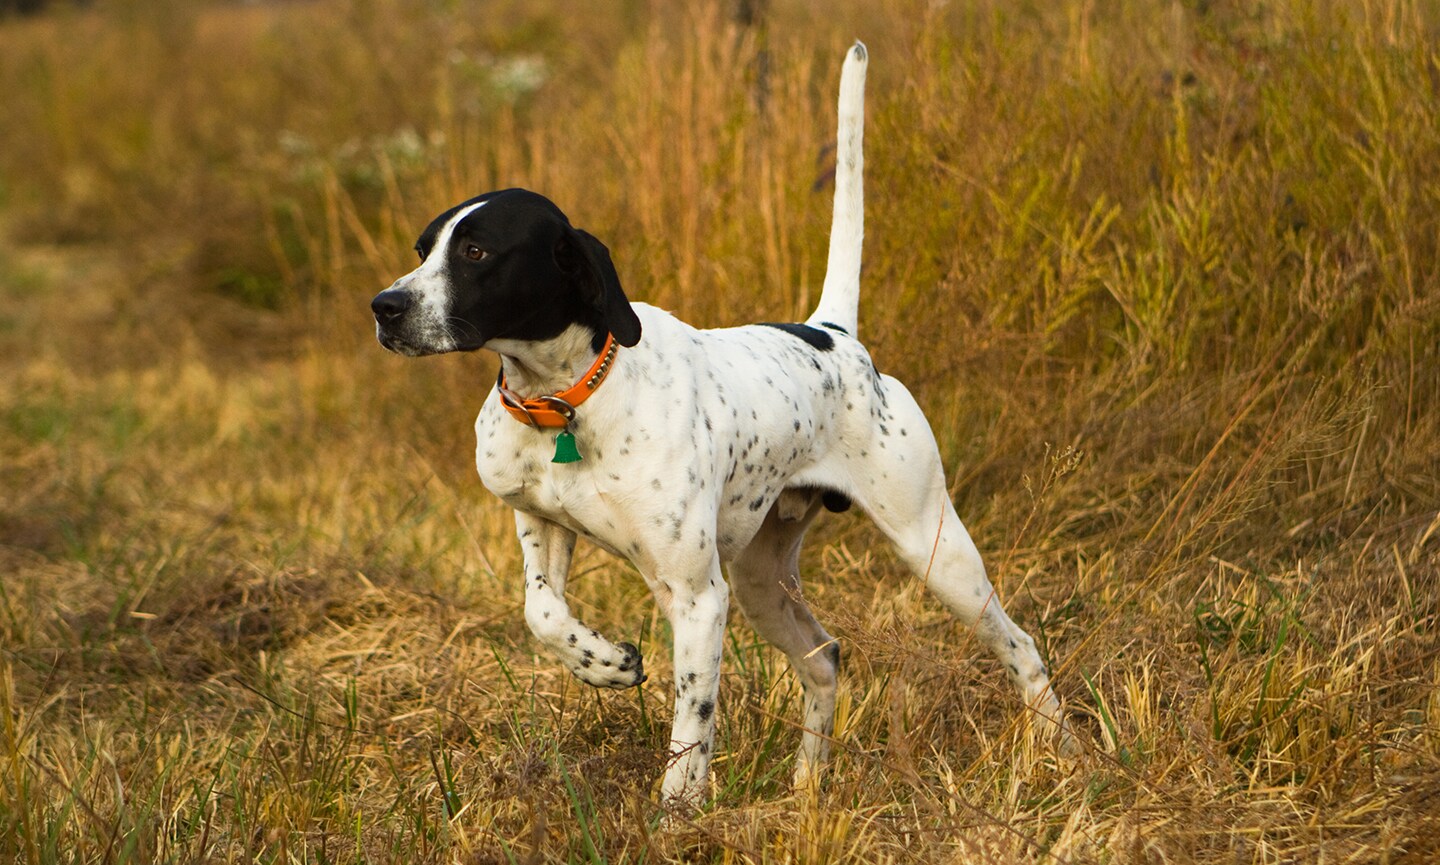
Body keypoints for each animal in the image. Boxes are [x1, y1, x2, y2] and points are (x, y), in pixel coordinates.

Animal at [371, 45, 1071, 800]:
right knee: (825, 659)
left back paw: (1057, 751)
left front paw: (676, 809)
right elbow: (543, 612)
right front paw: (604, 663)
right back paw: (806, 787)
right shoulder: (541, 522)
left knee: (1021, 646)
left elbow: (692, 724)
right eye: (422, 250)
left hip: (935, 551)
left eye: (475, 252)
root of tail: (835, 334)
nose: (384, 307)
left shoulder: (699, 597)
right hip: (764, 582)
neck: (569, 399)